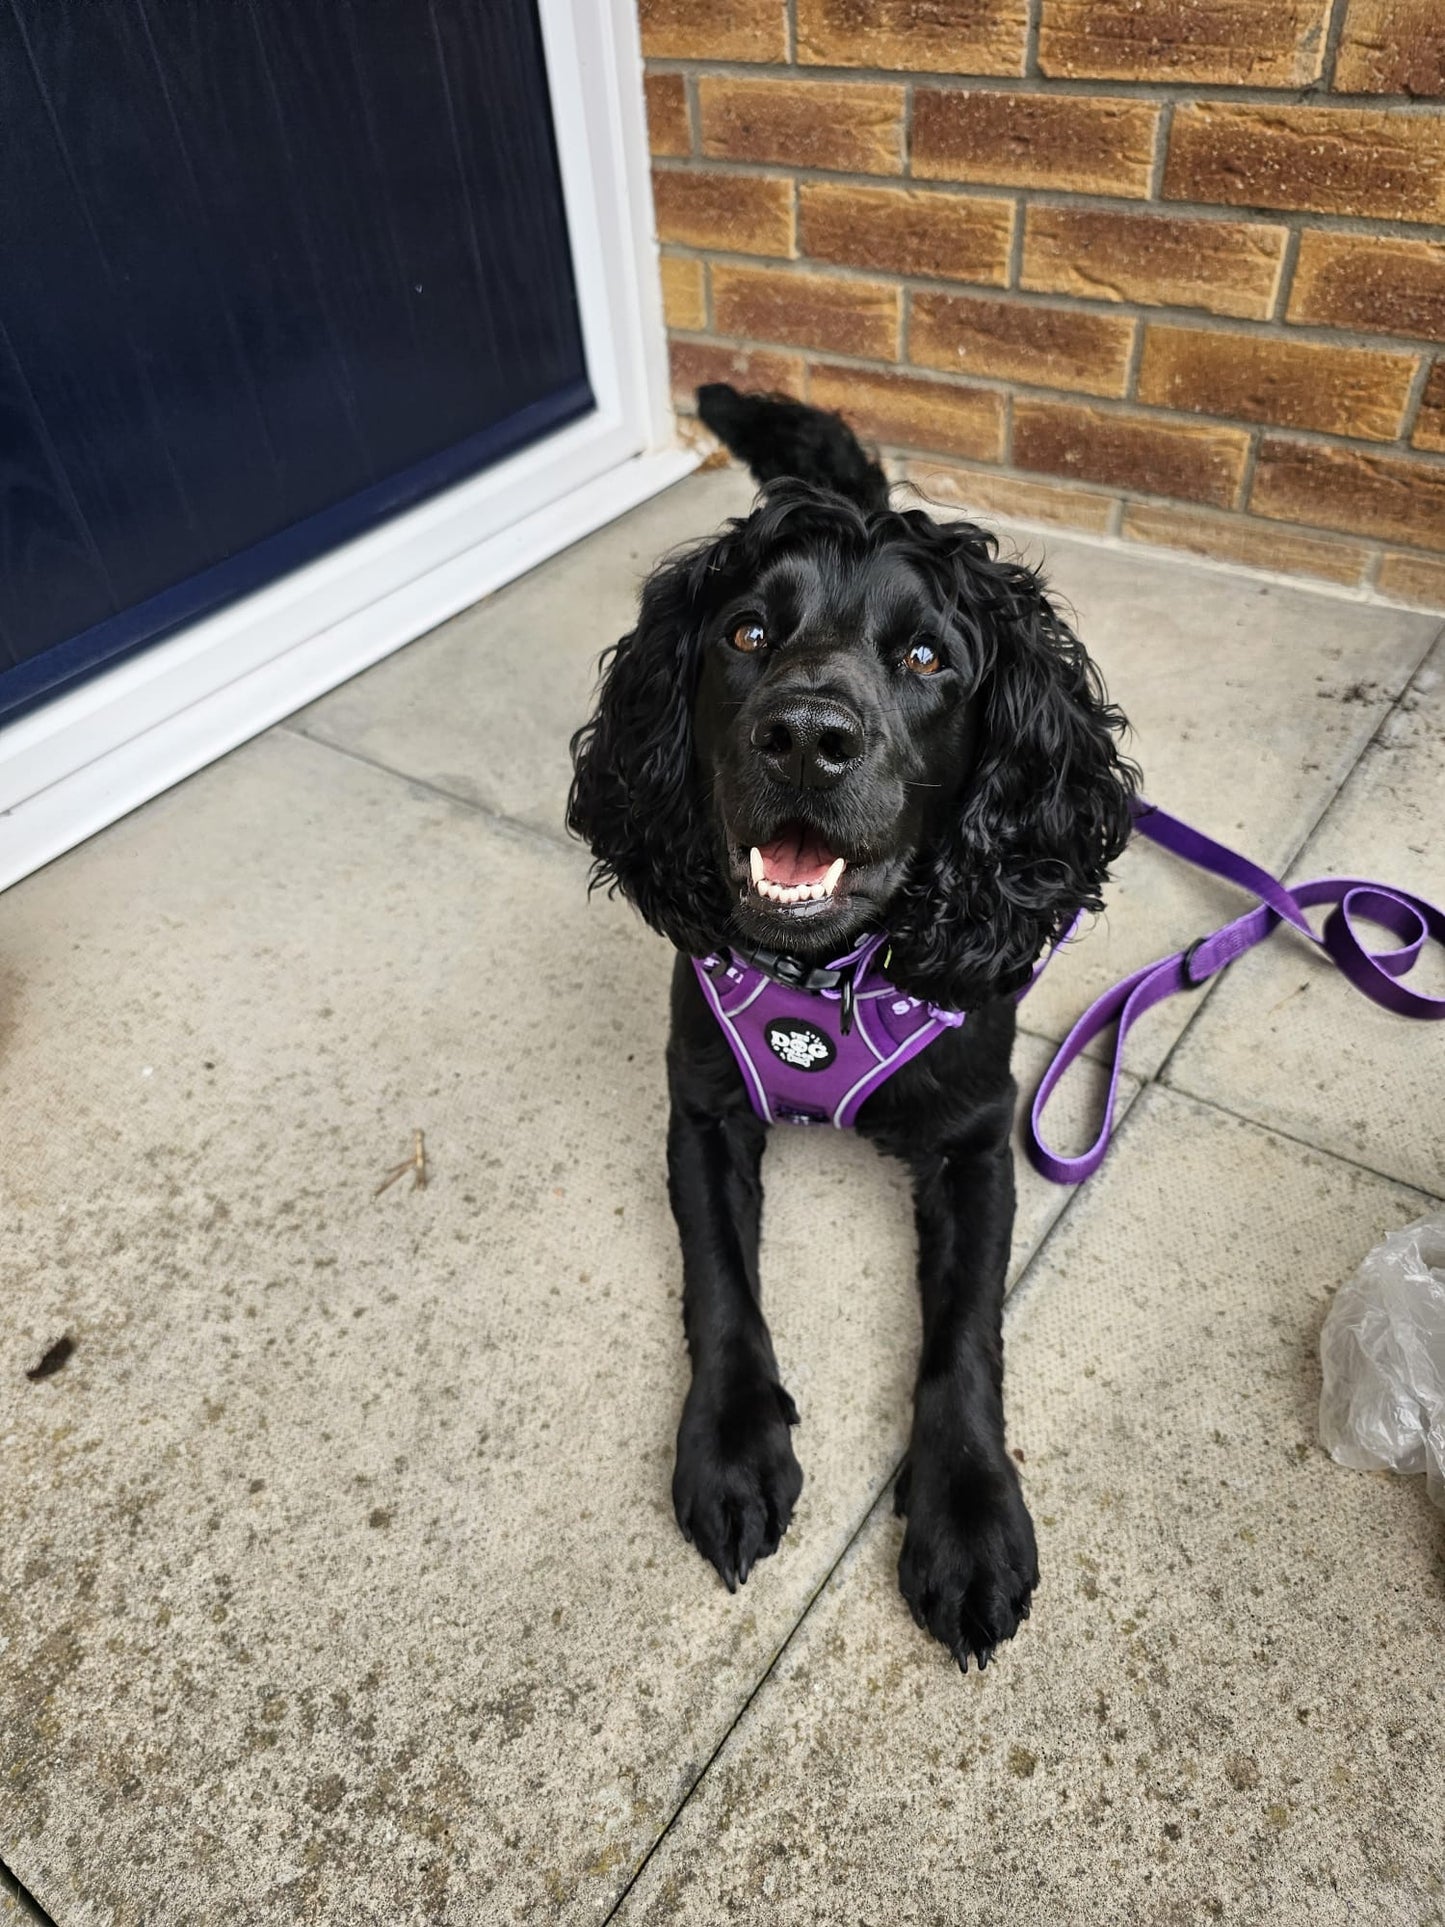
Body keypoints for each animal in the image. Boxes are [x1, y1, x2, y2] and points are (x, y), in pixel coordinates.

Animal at [570, 391, 1140, 1672]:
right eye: (743, 635)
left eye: (927, 658)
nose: (802, 735)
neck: (825, 971)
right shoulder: (700, 1108)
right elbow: (719, 1285)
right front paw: (731, 1451)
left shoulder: (975, 1141)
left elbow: (963, 1336)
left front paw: (967, 1515)